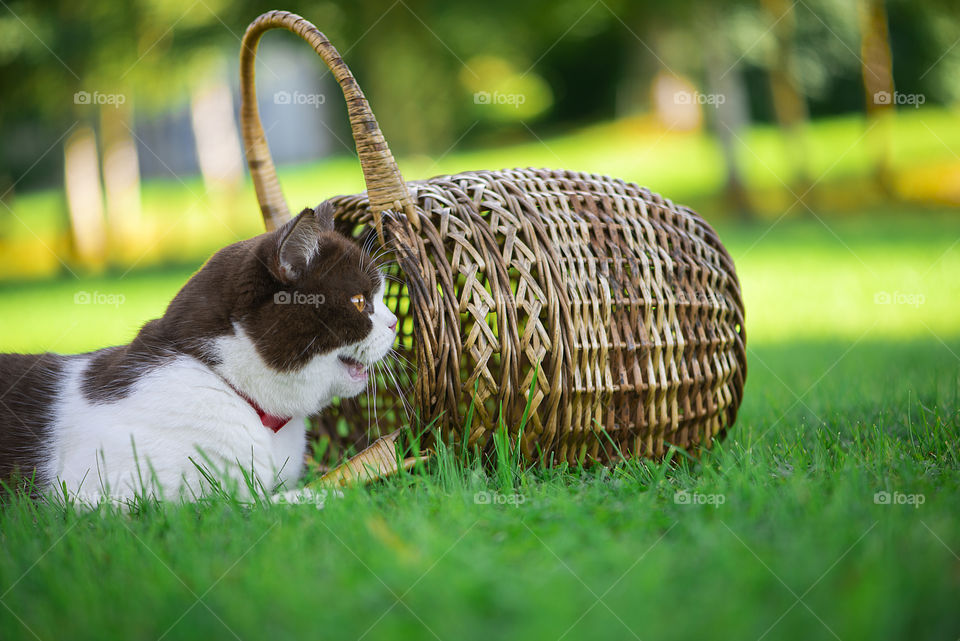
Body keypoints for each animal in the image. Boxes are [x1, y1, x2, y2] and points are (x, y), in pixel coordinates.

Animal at [0, 202, 398, 502]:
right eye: (359, 302)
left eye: (380, 298)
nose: (394, 322)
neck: (220, 380)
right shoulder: (103, 497)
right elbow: (245, 505)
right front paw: (330, 496)